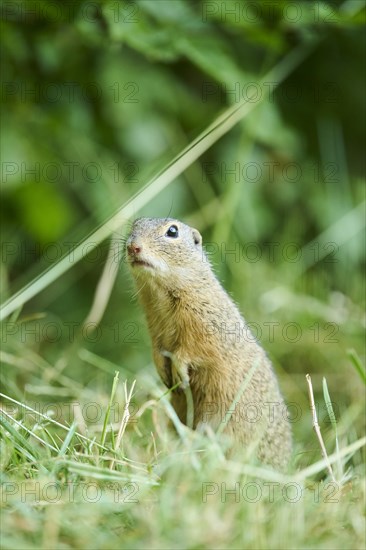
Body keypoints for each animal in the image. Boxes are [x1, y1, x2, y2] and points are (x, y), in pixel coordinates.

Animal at [127, 218, 294, 472]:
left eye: (172, 231)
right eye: (133, 226)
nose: (133, 247)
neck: (161, 297)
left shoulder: (203, 329)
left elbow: (191, 351)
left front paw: (180, 373)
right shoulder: (155, 331)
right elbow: (157, 350)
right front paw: (164, 373)